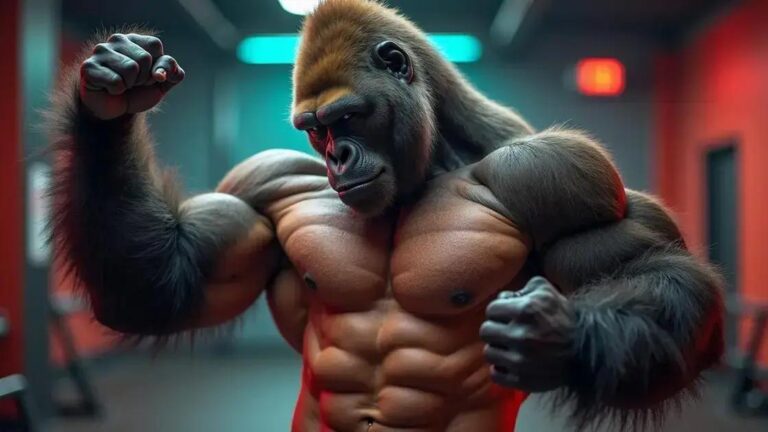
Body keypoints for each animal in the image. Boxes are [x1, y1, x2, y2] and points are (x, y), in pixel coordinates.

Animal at [47, 1, 724, 431]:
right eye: (314, 130)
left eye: (346, 118)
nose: (338, 158)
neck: (431, 161)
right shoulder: (262, 179)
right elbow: (166, 281)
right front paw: (112, 96)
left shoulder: (559, 172)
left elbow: (651, 265)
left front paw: (563, 338)